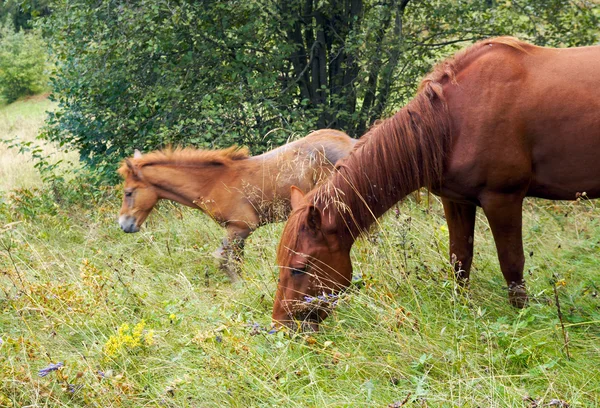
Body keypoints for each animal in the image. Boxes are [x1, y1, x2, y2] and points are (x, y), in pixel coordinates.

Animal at [119, 129, 358, 282]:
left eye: (128, 192)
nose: (123, 224)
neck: (213, 182)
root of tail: (351, 141)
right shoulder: (237, 231)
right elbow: (235, 260)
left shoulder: (240, 227)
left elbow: (223, 260)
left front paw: (239, 286)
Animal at [274, 37, 600, 332]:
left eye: (300, 267)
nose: (282, 326)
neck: (453, 119)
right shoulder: (457, 200)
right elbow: (460, 260)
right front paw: (462, 310)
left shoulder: (503, 199)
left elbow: (512, 264)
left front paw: (522, 317)